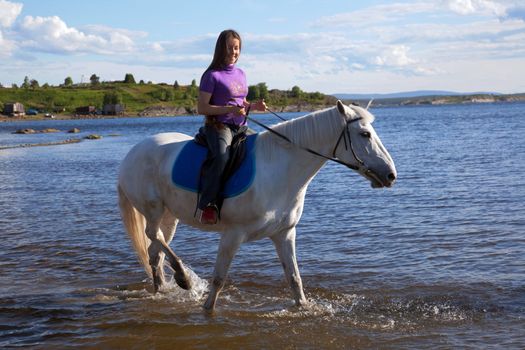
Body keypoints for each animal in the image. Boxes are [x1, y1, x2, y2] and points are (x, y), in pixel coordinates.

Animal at [118, 101, 396, 312]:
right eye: (365, 134)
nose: (391, 175)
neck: (280, 168)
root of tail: (132, 152)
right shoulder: (232, 234)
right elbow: (219, 280)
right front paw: (207, 309)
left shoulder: (284, 234)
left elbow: (294, 279)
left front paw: (304, 308)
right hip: (153, 209)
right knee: (153, 235)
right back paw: (183, 278)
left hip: (170, 215)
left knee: (156, 249)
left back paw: (162, 289)